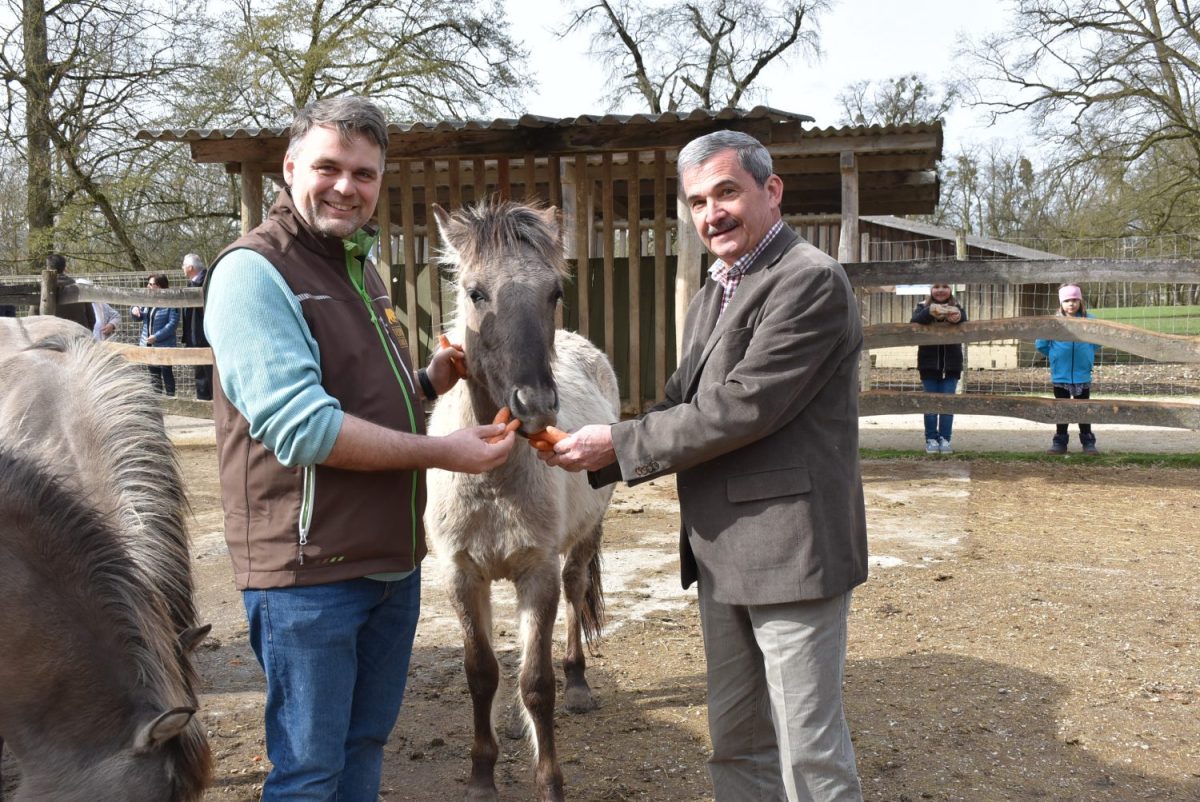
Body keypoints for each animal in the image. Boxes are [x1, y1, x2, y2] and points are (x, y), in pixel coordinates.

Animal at [427, 201, 619, 802]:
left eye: (553, 292)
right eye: (475, 293)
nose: (534, 405)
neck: (492, 483)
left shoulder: (537, 573)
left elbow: (537, 683)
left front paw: (550, 784)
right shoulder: (462, 574)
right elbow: (481, 673)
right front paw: (481, 777)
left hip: (582, 541)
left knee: (577, 592)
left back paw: (578, 683)